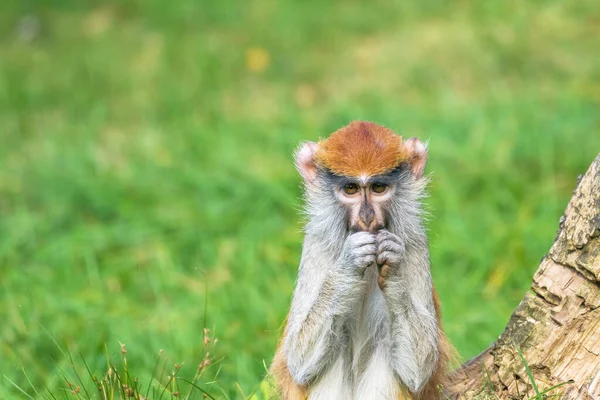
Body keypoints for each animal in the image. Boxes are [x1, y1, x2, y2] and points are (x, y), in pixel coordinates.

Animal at [270, 122, 452, 400]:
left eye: (378, 188)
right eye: (351, 189)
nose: (367, 216)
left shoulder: (415, 243)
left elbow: (420, 370)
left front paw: (393, 269)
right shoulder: (317, 243)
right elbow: (299, 361)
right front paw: (349, 264)